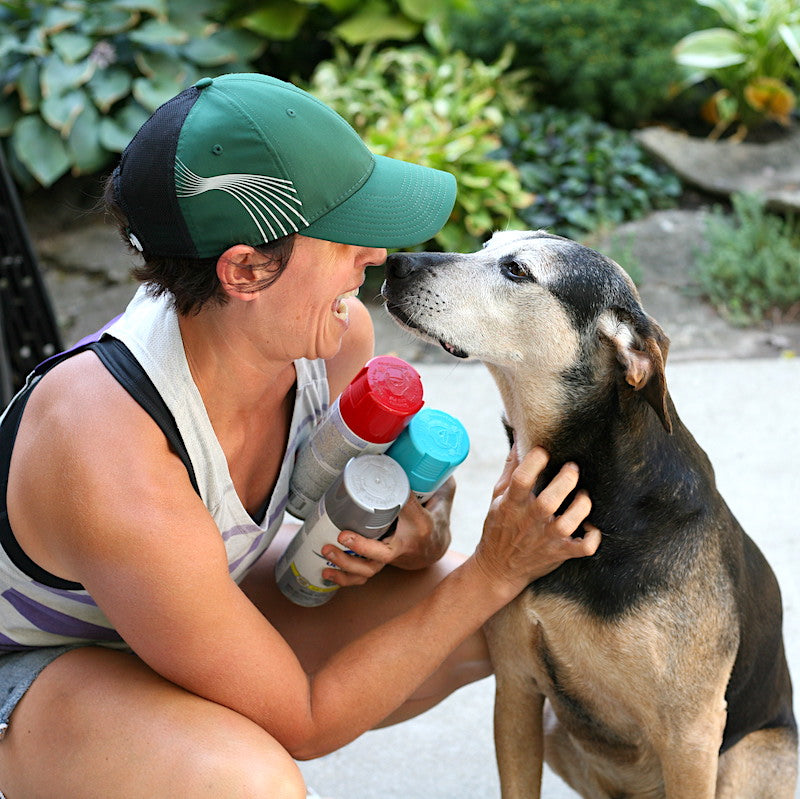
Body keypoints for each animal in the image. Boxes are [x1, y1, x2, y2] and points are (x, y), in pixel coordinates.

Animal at [382, 230, 792, 799]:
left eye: (516, 270)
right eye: (487, 244)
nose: (393, 264)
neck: (596, 490)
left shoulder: (691, 736)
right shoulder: (516, 689)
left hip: (746, 755)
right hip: (558, 728)